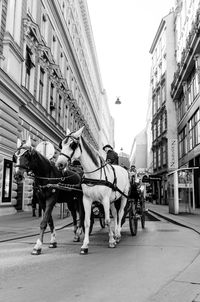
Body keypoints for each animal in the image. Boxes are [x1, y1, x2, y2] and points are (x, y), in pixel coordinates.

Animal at [55, 126, 130, 254]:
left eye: (72, 145)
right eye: (61, 144)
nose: (59, 164)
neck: (94, 175)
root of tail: (123, 169)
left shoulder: (105, 200)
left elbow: (107, 220)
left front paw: (111, 241)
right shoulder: (86, 200)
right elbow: (86, 221)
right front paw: (85, 245)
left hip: (123, 196)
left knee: (120, 214)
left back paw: (118, 234)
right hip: (113, 200)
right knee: (115, 214)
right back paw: (115, 233)